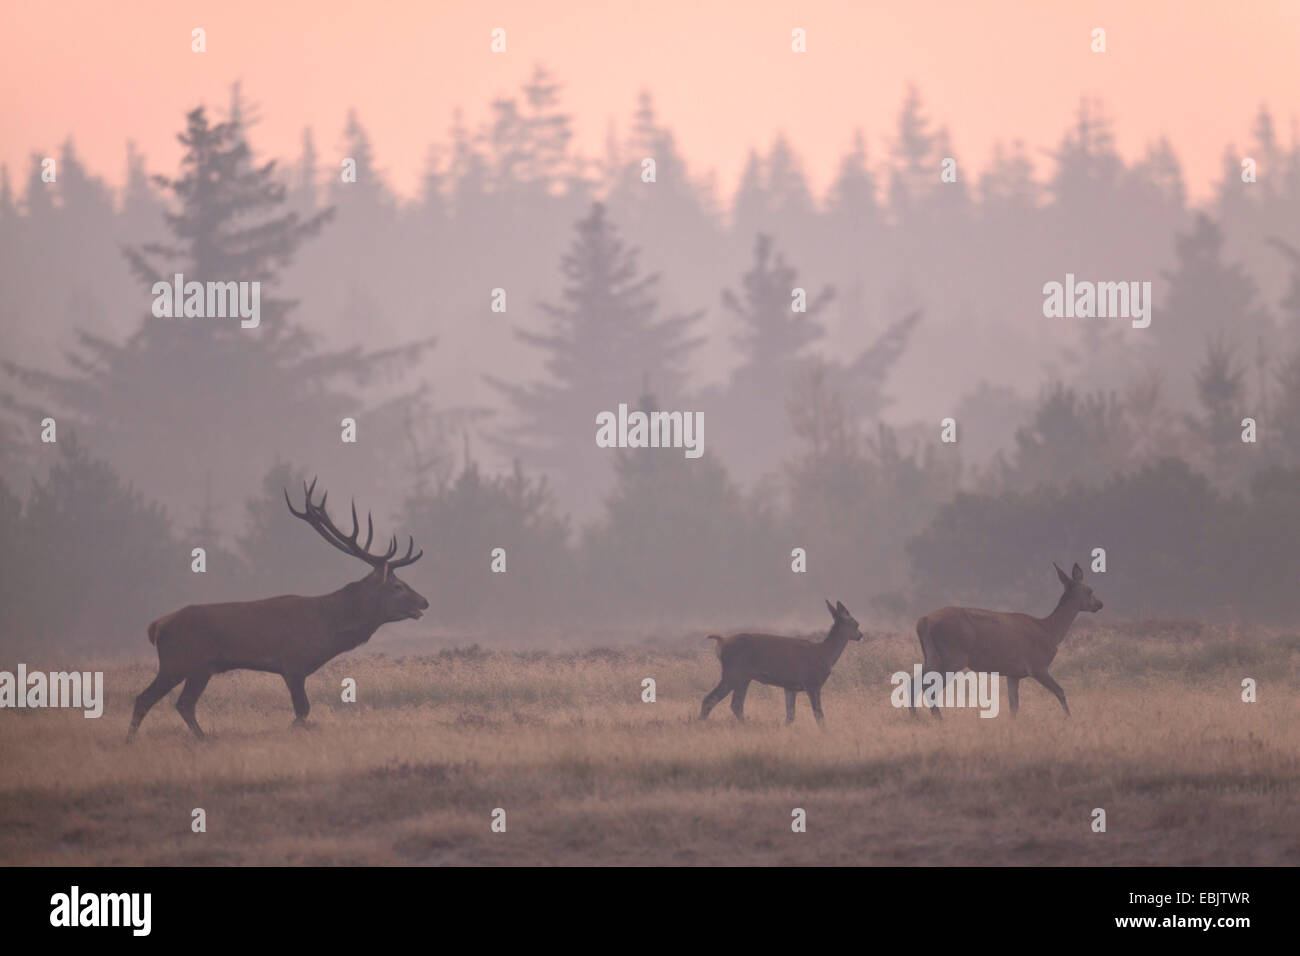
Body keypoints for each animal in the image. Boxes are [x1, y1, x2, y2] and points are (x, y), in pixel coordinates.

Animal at [702, 600, 863, 728]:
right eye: (856, 623)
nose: (860, 635)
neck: (825, 654)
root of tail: (721, 641)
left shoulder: (790, 687)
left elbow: (790, 716)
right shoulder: (812, 682)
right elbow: (819, 714)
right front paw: (825, 731)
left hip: (743, 677)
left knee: (731, 703)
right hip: (734, 672)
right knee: (716, 700)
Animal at [909, 561, 1102, 717]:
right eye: (1090, 590)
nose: (1100, 604)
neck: (1050, 631)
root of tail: (923, 620)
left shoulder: (1013, 673)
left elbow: (1014, 706)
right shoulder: (1037, 666)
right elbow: (1060, 691)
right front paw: (1069, 718)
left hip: (932, 655)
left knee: (914, 682)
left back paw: (916, 717)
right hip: (953, 656)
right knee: (928, 687)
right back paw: (938, 719)